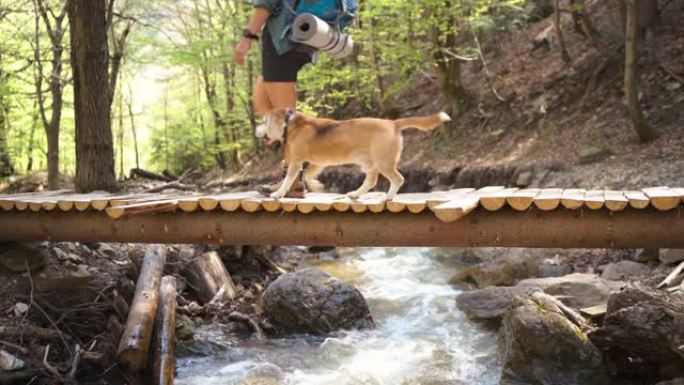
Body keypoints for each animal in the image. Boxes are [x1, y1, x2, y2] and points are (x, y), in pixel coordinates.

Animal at [255, 107, 448, 198]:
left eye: (264, 121)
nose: (257, 130)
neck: (289, 123)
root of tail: (393, 123)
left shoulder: (296, 162)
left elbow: (288, 180)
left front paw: (278, 193)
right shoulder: (316, 163)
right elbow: (306, 177)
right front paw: (316, 186)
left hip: (383, 162)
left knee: (398, 179)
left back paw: (387, 198)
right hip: (369, 163)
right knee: (371, 181)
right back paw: (356, 194)